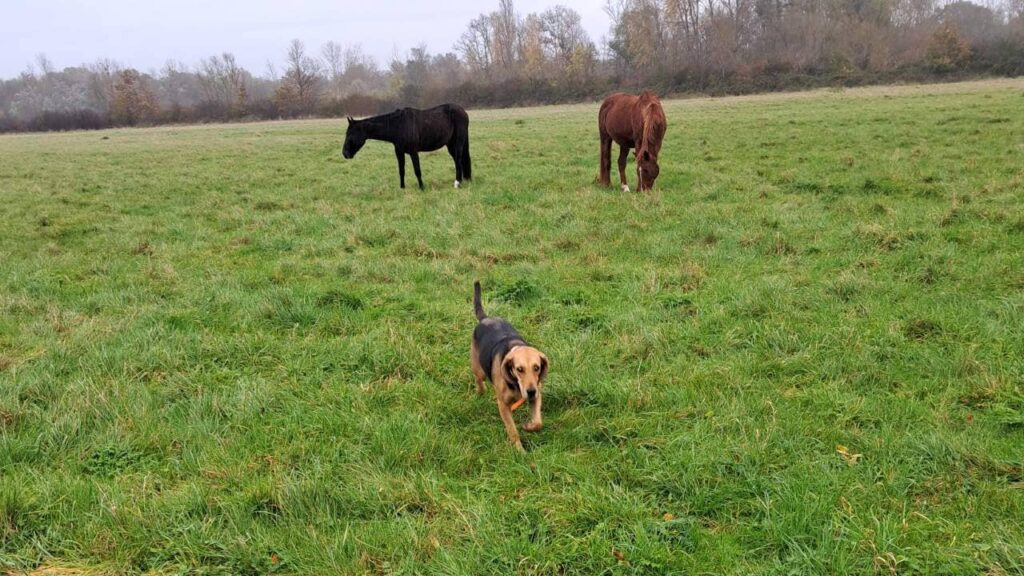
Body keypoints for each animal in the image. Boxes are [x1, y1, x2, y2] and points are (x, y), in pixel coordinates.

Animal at [342, 104, 473, 189]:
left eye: (350, 134)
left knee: (458, 160)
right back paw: (461, 181)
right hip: (450, 144)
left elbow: (417, 170)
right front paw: (402, 188)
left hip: (458, 142)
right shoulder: (399, 152)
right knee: (457, 161)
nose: (345, 153)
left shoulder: (413, 152)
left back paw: (457, 183)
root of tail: (463, 111)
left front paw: (422, 188)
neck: (399, 126)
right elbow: (401, 170)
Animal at [468, 280, 548, 450]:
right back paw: (481, 391)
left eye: (537, 368)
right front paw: (519, 451)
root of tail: (485, 318)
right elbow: (512, 430)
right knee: (479, 379)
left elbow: (538, 422)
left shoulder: (537, 396)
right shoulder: (503, 405)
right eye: (519, 369)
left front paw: (528, 426)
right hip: (479, 369)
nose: (531, 391)